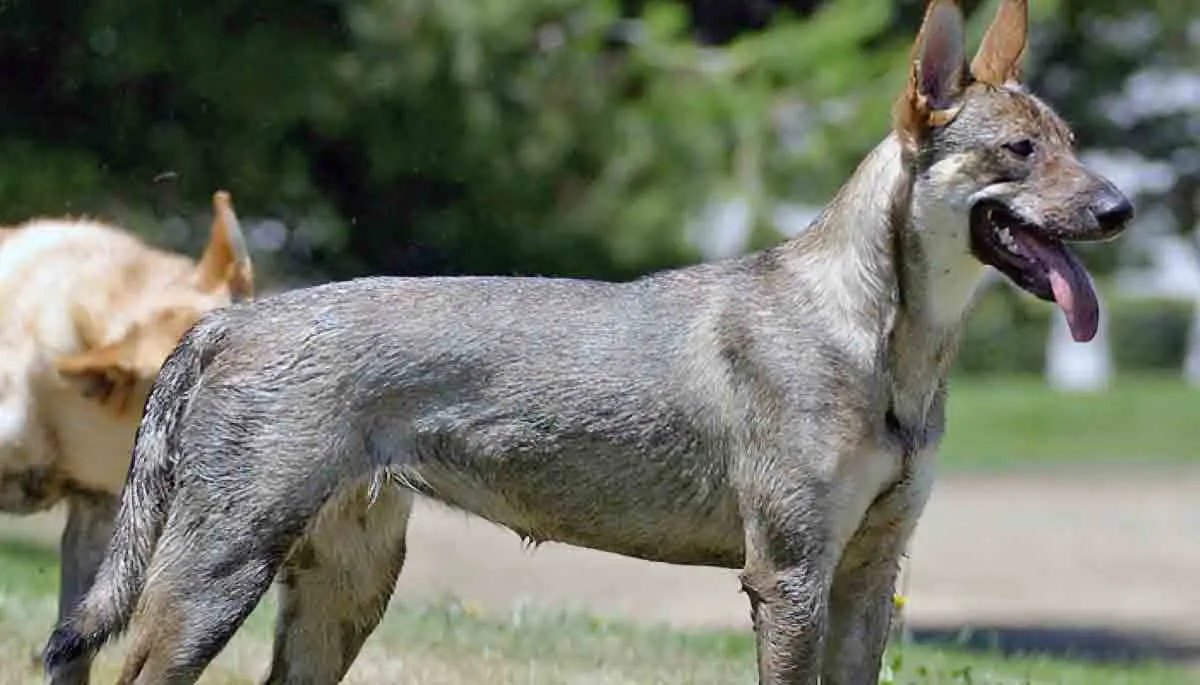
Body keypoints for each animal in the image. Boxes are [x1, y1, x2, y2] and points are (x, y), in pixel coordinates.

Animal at [44, 2, 1132, 681]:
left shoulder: (870, 573)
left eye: (1074, 143)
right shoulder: (788, 576)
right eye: (1019, 152)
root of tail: (231, 317)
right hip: (217, 574)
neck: (884, 344)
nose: (1123, 209)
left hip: (342, 590)